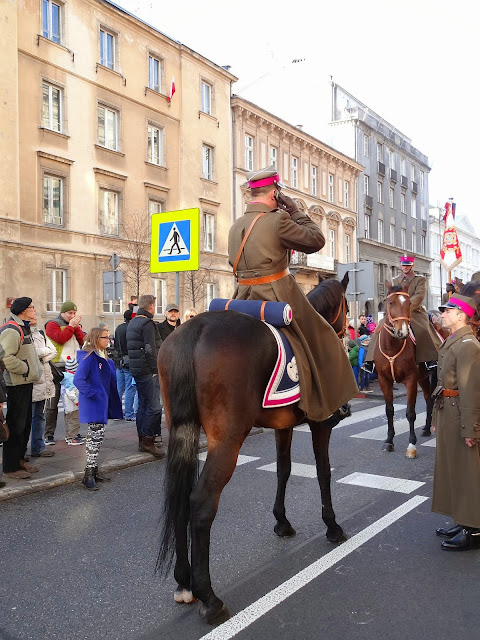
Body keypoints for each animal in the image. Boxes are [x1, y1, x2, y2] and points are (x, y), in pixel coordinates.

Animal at [157, 276, 348, 624]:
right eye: (346, 307)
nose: (346, 333)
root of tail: (195, 328)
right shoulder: (320, 424)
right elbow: (323, 472)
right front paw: (332, 526)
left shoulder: (284, 425)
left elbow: (283, 470)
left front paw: (282, 522)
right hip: (227, 441)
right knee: (201, 503)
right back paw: (210, 598)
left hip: (183, 433)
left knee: (180, 497)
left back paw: (184, 583)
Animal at [374, 282, 436, 458]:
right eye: (390, 303)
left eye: (408, 303)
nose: (402, 332)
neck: (392, 347)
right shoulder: (384, 380)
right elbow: (389, 410)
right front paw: (389, 441)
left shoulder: (410, 380)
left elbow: (410, 412)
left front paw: (411, 445)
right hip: (423, 377)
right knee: (428, 398)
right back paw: (427, 428)